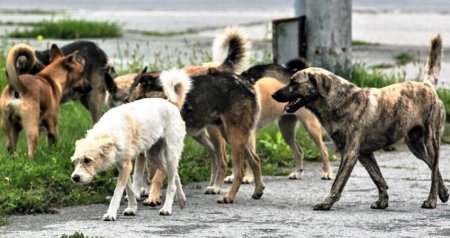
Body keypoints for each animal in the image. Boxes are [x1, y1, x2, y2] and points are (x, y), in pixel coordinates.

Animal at [71, 69, 192, 221]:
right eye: (75, 162)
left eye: (88, 160)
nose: (75, 178)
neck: (108, 133)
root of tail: (172, 103)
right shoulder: (124, 166)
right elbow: (129, 190)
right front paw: (132, 208)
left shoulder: (126, 166)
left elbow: (117, 193)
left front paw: (111, 213)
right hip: (154, 157)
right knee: (174, 175)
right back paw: (181, 199)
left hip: (169, 154)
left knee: (171, 184)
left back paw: (167, 208)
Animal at [272, 34, 448, 210]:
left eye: (294, 83)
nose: (273, 95)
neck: (338, 101)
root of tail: (427, 85)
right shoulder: (364, 154)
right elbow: (378, 178)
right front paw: (383, 201)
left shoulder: (349, 153)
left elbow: (338, 182)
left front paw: (326, 202)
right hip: (415, 146)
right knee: (434, 166)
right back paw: (444, 193)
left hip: (431, 140)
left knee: (434, 168)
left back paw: (431, 200)